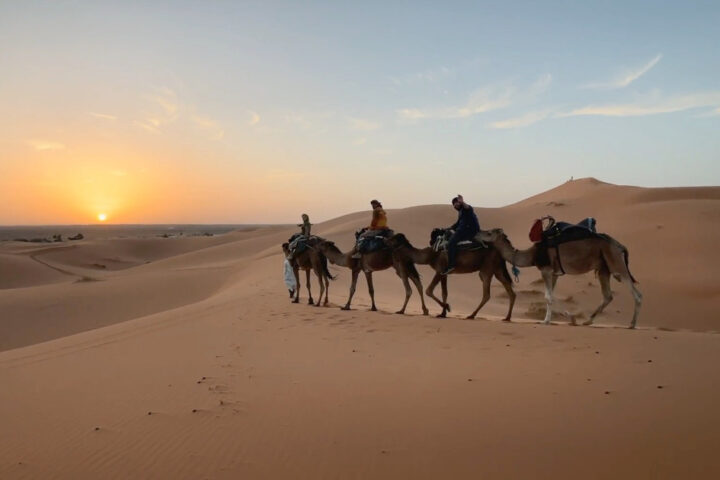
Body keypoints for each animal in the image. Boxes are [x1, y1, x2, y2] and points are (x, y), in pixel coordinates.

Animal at [386, 232, 516, 318]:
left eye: (393, 238)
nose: (385, 239)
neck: (430, 255)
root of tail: (499, 251)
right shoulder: (444, 273)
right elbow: (445, 292)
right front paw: (442, 313)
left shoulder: (439, 270)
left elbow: (429, 290)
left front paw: (447, 307)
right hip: (497, 269)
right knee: (510, 290)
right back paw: (507, 317)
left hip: (487, 268)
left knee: (487, 294)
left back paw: (472, 315)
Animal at [478, 227, 640, 328]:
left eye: (489, 233)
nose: (476, 234)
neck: (532, 255)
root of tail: (620, 246)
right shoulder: (554, 273)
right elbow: (551, 295)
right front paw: (571, 319)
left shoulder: (546, 270)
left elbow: (548, 296)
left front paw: (547, 321)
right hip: (604, 268)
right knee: (607, 295)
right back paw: (588, 321)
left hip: (616, 263)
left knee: (637, 294)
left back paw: (632, 324)